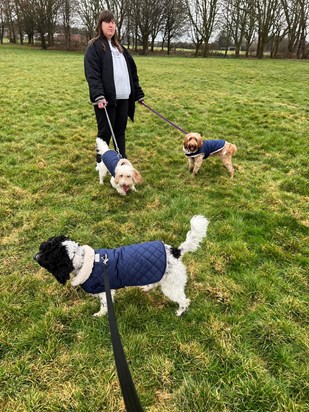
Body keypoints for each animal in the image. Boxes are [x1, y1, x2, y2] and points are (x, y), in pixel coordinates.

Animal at [33, 216, 208, 316]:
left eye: (45, 254)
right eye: (41, 248)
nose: (34, 257)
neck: (82, 260)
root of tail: (176, 251)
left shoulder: (105, 291)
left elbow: (104, 306)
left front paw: (100, 315)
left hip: (171, 286)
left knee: (185, 300)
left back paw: (179, 312)